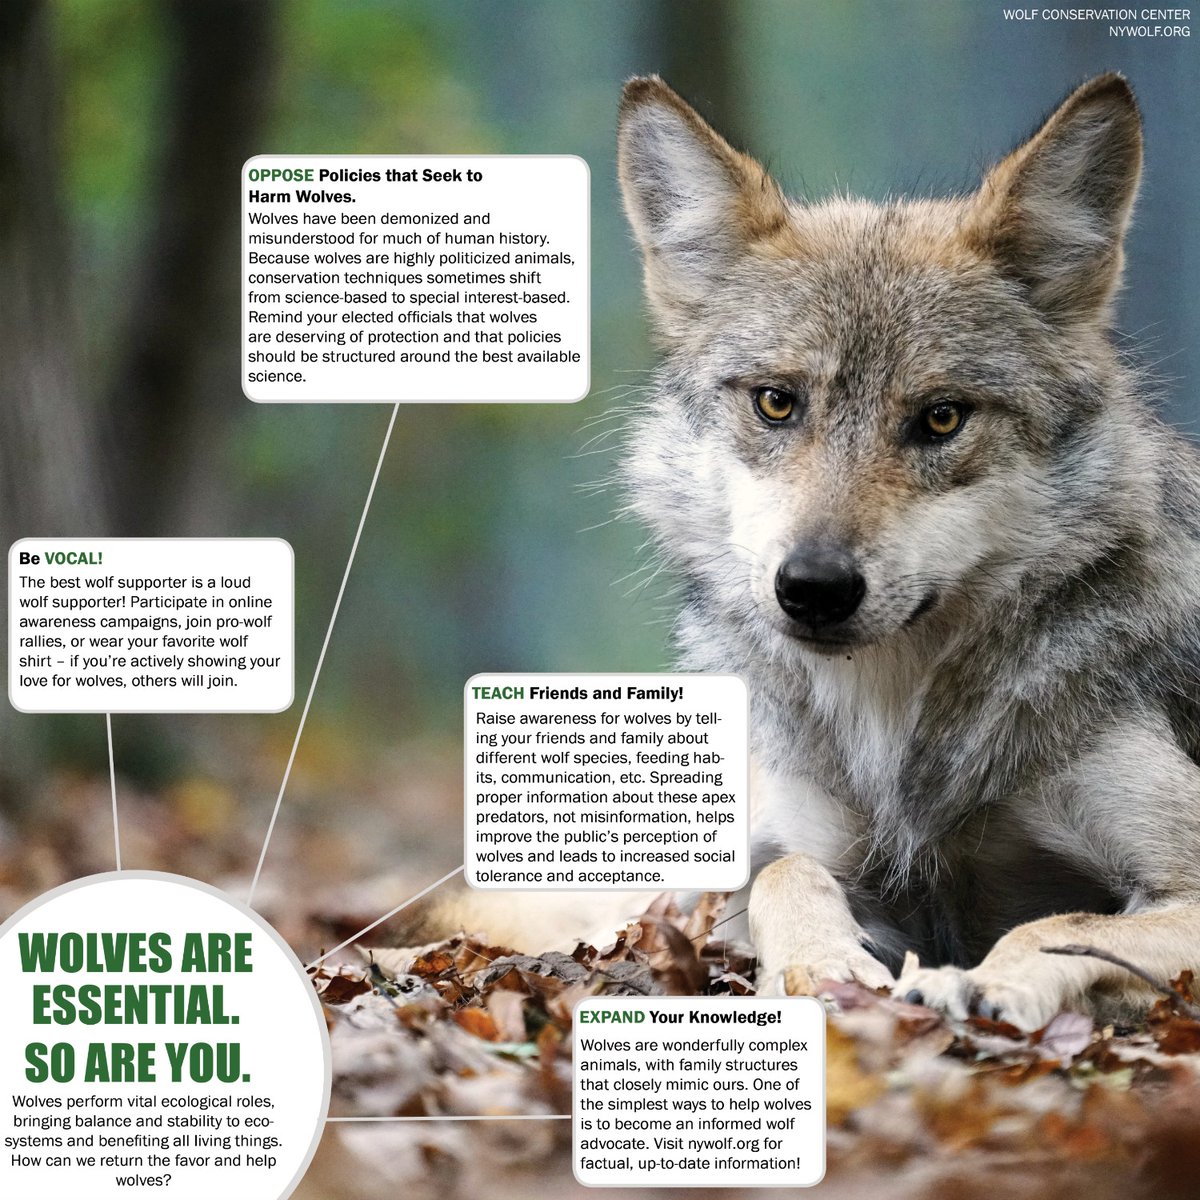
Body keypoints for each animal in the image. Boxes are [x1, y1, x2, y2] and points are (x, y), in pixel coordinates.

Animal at [617, 72, 1200, 1030]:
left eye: (941, 418)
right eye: (776, 403)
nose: (814, 587)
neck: (896, 725)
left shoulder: (1174, 876)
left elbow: (1059, 925)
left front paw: (986, 982)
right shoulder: (815, 853)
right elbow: (785, 876)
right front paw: (822, 971)